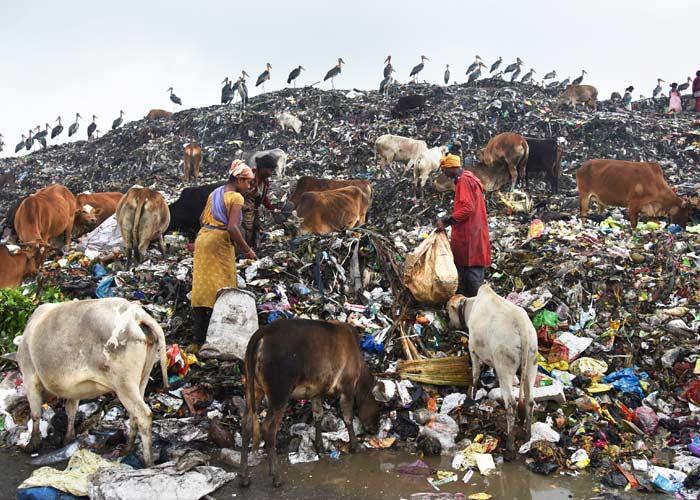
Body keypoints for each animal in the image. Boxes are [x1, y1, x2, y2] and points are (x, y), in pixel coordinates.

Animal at [15, 296, 169, 464]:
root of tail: (135, 314)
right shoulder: (73, 389)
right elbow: (71, 410)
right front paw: (69, 437)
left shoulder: (29, 377)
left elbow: (35, 413)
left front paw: (32, 444)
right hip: (142, 378)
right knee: (133, 414)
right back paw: (127, 449)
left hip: (124, 384)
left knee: (143, 415)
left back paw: (148, 462)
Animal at [241, 318, 382, 486]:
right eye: (378, 406)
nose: (375, 428)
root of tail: (262, 332)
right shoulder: (347, 388)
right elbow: (347, 418)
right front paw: (355, 446)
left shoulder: (317, 392)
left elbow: (318, 416)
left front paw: (320, 448)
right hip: (279, 393)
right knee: (268, 428)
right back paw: (276, 477)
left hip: (254, 388)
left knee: (246, 424)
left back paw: (244, 477)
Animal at [446, 284, 540, 452]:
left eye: (448, 312)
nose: (448, 325)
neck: (471, 306)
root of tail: (522, 327)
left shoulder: (473, 349)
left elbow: (475, 374)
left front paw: (471, 397)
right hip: (531, 361)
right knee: (529, 401)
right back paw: (528, 435)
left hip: (505, 365)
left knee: (511, 404)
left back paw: (510, 443)